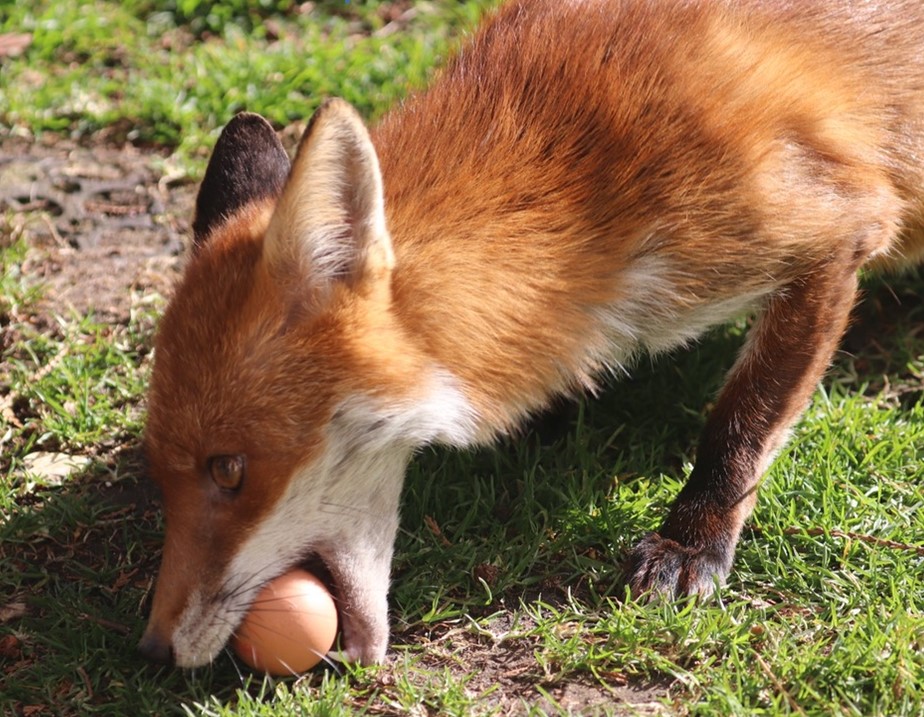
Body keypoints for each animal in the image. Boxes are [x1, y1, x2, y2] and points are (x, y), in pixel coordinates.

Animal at [138, 0, 924, 668]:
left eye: (229, 470)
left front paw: (692, 538)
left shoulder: (837, 230)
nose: (151, 651)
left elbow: (743, 419)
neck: (581, 186)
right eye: (163, 476)